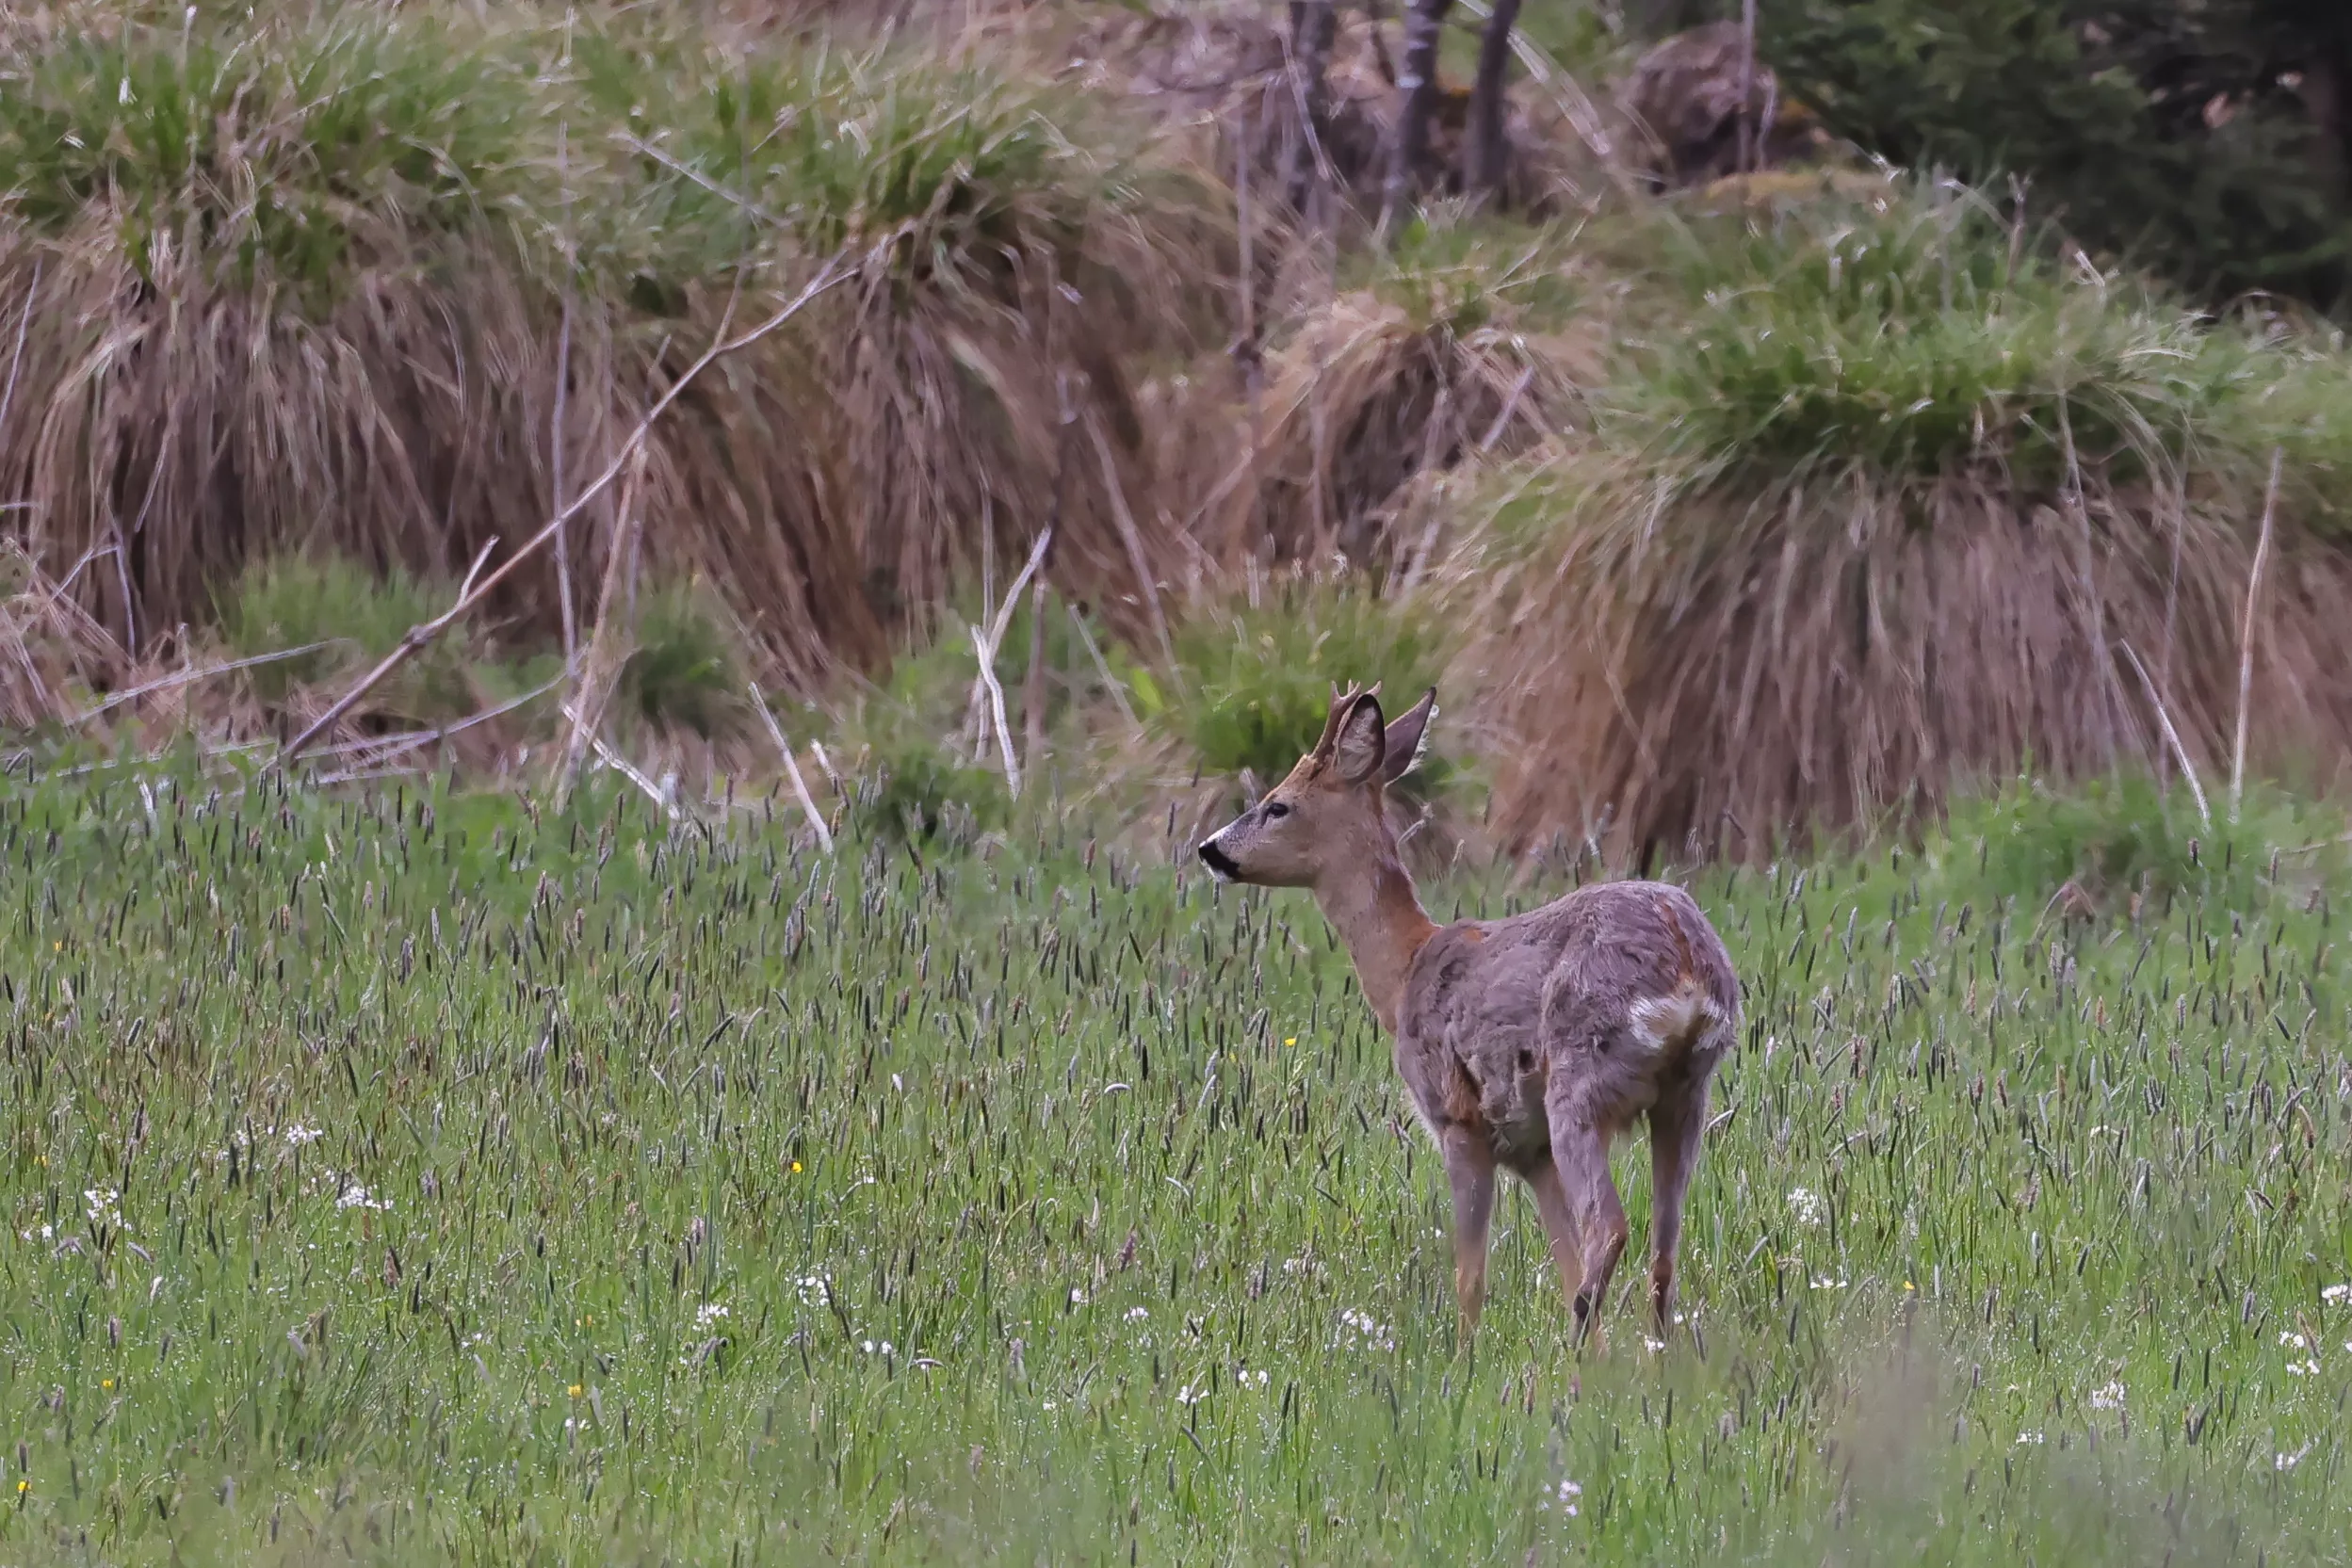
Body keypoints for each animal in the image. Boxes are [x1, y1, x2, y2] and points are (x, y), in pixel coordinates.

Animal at [1196, 683, 1741, 1347]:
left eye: (1278, 805)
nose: (1210, 849)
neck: (1405, 969)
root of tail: (1686, 956)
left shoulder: (1459, 1120)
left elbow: (1470, 1276)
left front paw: (1463, 1356)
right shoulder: (1531, 1152)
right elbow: (1559, 1255)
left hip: (1580, 1083)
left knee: (1610, 1227)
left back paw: (1576, 1346)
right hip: (1686, 1095)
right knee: (1663, 1248)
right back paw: (1642, 1352)